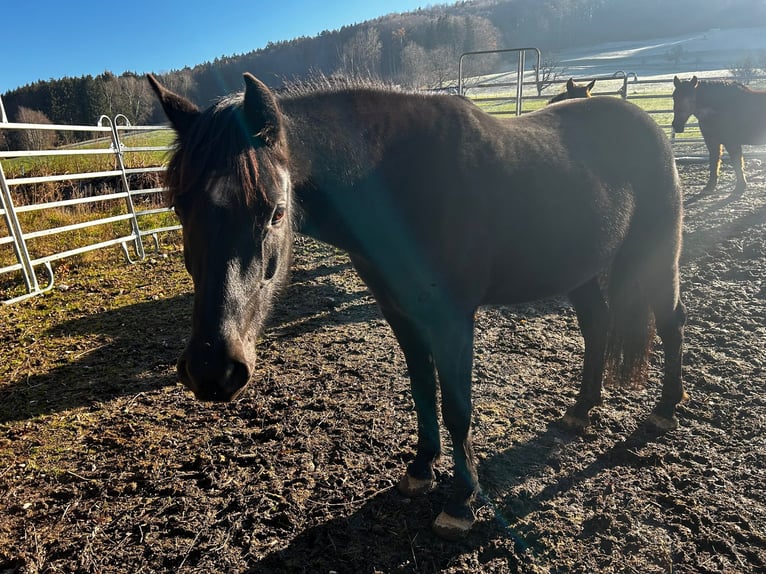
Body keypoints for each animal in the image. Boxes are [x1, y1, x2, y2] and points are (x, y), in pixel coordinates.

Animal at [147, 74, 688, 544]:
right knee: (596, 325)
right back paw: (581, 410)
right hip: (577, 270)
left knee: (670, 322)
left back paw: (664, 411)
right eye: (179, 208)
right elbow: (423, 391)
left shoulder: (453, 321)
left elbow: (458, 408)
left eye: (276, 212)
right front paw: (421, 469)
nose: (213, 369)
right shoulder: (402, 315)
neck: (400, 182)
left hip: (659, 255)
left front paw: (461, 502)